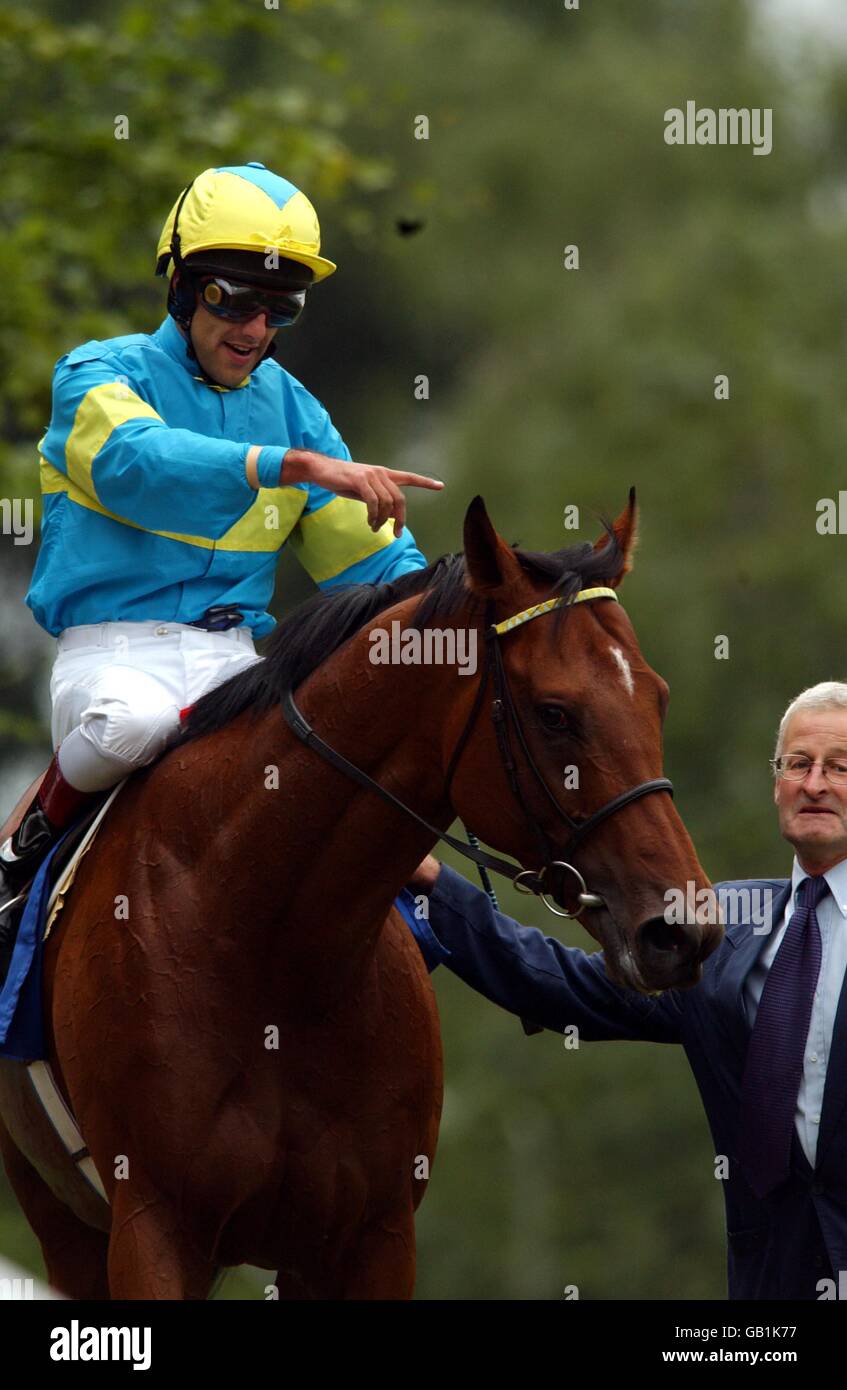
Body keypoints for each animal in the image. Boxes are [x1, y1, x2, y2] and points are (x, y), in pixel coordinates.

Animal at [0, 494, 717, 1295]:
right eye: (554, 712)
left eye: (656, 698)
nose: (680, 928)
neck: (268, 950)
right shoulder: (153, 1225)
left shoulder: (372, 1235)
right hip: (64, 1225)